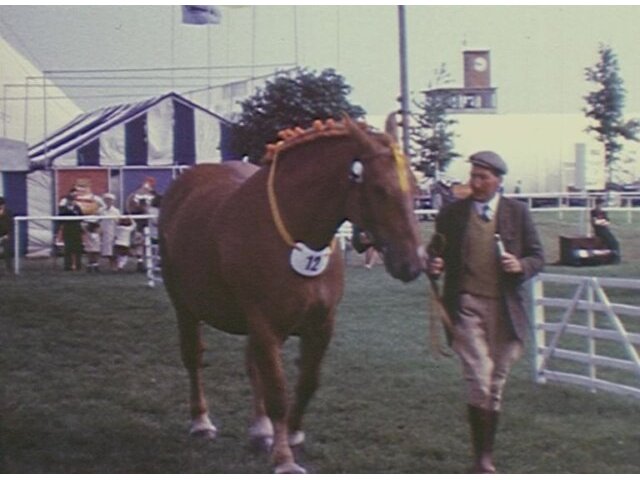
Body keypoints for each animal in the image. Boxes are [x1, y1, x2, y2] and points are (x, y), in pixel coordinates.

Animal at [158, 116, 426, 474]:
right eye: (379, 189)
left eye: (416, 188)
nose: (412, 263)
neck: (296, 237)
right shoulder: (265, 326)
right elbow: (277, 391)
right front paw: (284, 458)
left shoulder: (321, 324)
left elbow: (308, 382)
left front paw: (292, 433)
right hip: (184, 306)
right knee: (193, 357)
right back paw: (201, 422)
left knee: (252, 366)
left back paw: (261, 430)